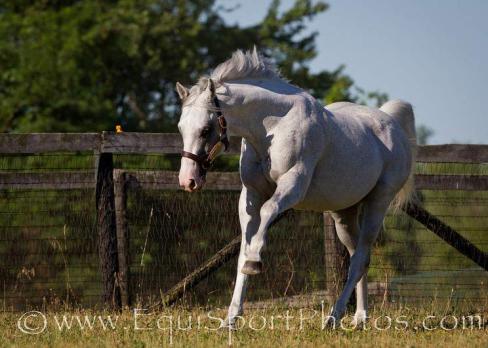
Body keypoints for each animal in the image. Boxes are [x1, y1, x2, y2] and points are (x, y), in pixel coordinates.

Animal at [175, 47, 416, 328]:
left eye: (205, 129)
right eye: (181, 128)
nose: (188, 181)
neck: (273, 126)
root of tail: (392, 125)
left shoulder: (292, 186)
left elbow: (267, 213)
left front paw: (254, 262)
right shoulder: (251, 194)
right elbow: (244, 246)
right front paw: (231, 319)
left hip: (378, 203)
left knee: (358, 260)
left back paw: (333, 318)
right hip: (344, 213)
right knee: (360, 258)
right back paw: (359, 318)